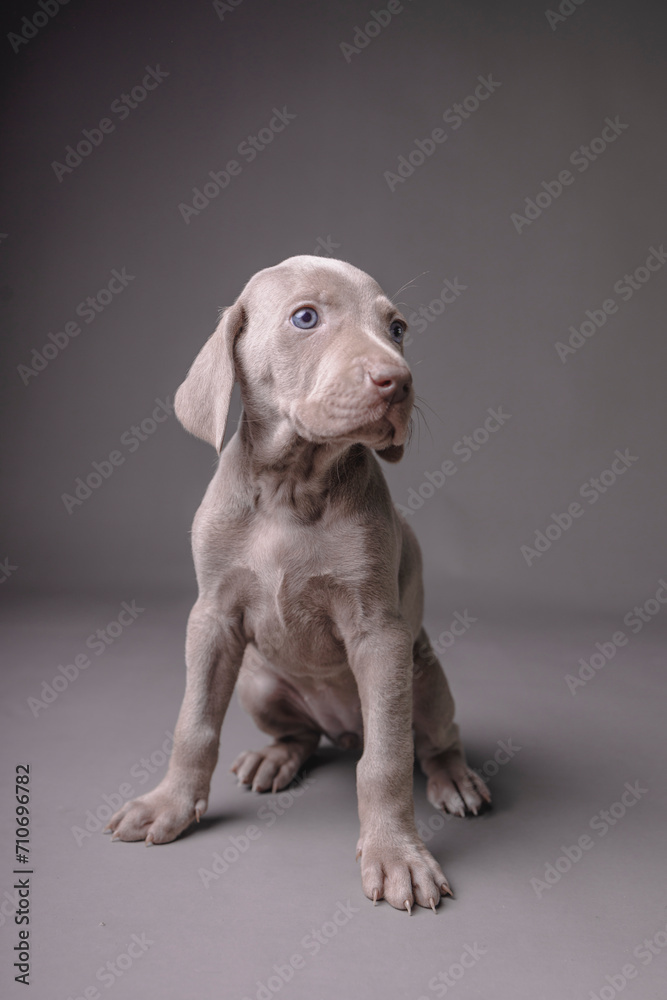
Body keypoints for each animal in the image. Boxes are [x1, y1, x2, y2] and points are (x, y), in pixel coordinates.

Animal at [107, 254, 488, 912]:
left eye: (397, 329)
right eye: (305, 318)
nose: (399, 381)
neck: (292, 485)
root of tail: (344, 730)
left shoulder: (380, 635)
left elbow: (387, 760)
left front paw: (396, 854)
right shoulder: (211, 618)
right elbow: (193, 723)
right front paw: (169, 805)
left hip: (427, 680)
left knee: (431, 739)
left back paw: (455, 777)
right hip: (259, 684)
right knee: (303, 735)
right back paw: (274, 758)